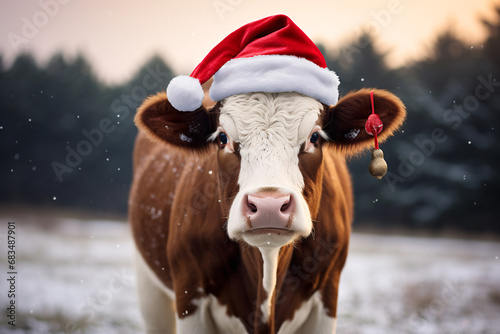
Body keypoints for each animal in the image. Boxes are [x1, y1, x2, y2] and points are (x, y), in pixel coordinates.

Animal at [128, 13, 406, 334]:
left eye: (315, 137)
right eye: (222, 138)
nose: (269, 205)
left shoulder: (328, 296)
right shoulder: (189, 296)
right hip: (149, 287)